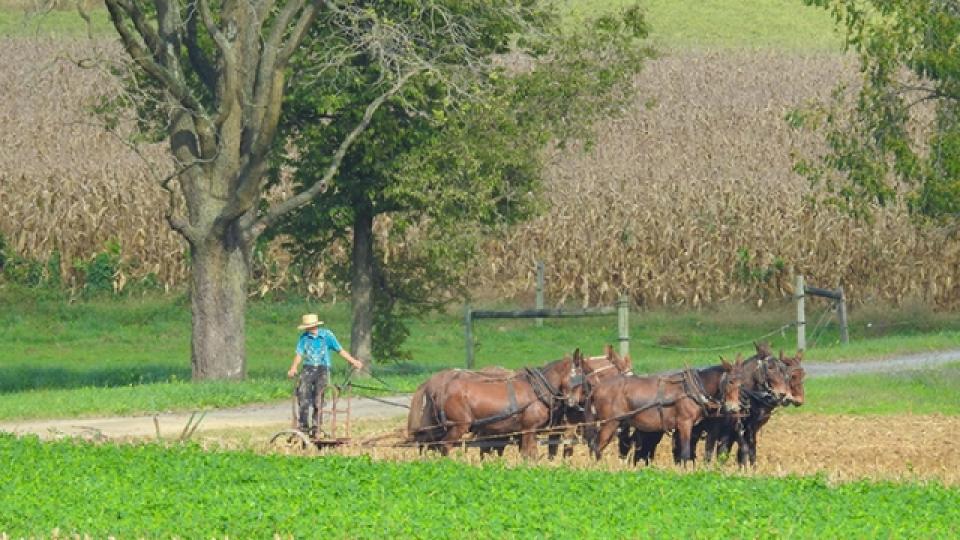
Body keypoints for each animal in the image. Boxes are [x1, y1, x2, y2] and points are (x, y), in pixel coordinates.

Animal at [410, 348, 584, 458]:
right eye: (578, 377)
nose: (574, 403)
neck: (536, 390)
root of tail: (439, 389)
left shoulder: (526, 432)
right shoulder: (529, 429)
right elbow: (529, 455)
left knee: (429, 443)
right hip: (459, 426)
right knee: (444, 446)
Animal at [584, 354, 752, 464]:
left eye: (741, 382)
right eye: (730, 381)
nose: (734, 407)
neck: (693, 388)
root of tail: (597, 388)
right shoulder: (685, 423)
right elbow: (685, 452)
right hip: (610, 423)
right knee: (597, 447)